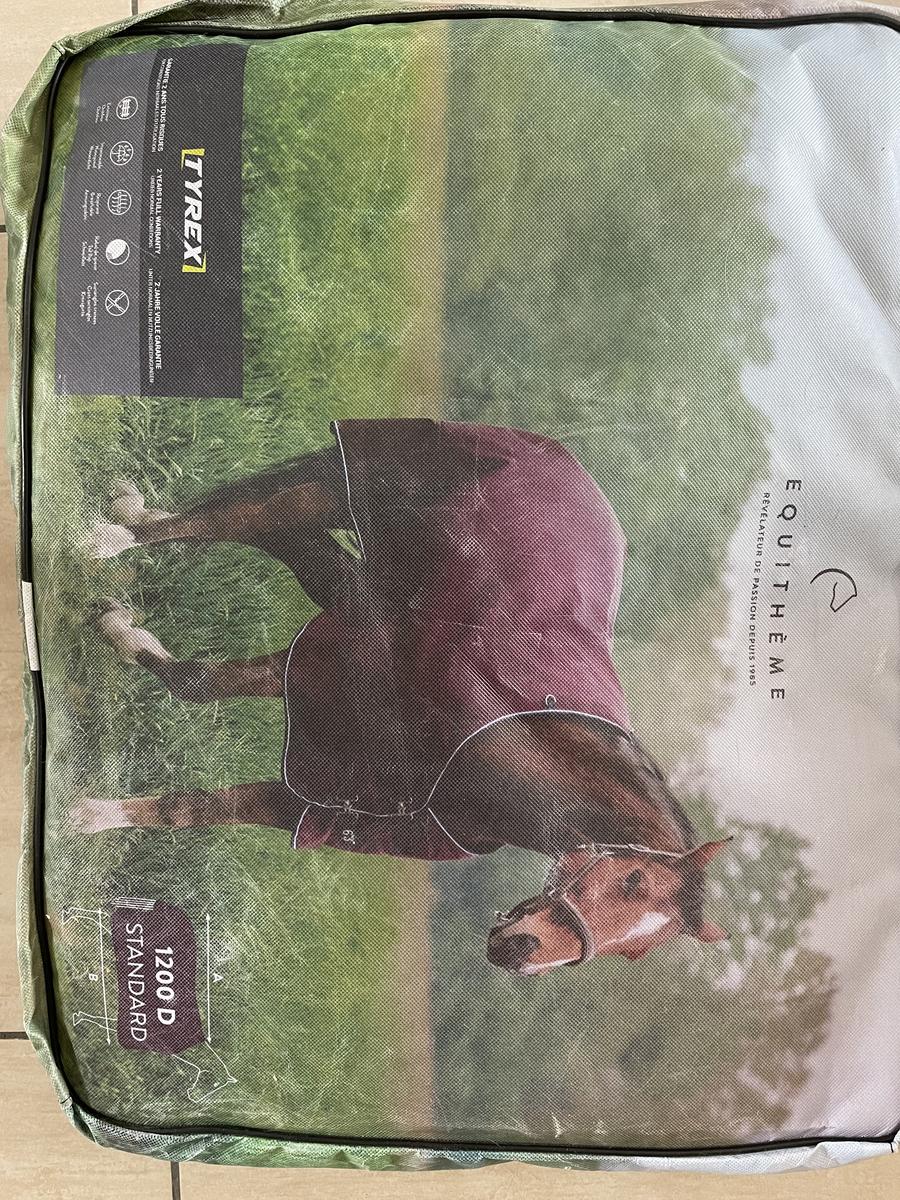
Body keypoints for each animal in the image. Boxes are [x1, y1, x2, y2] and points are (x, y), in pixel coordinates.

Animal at [74, 418, 729, 974]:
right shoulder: (330, 660)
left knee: (276, 532)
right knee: (236, 517)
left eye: (636, 950)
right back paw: (110, 538)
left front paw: (97, 814)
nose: (519, 952)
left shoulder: (331, 792)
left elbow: (200, 790)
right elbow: (199, 684)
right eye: (633, 880)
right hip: (346, 492)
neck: (501, 742)